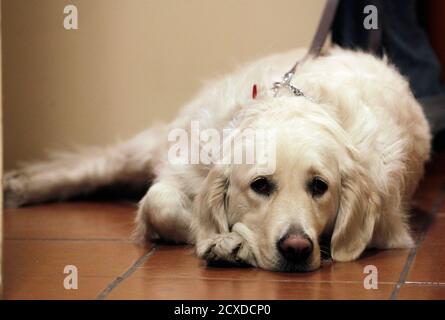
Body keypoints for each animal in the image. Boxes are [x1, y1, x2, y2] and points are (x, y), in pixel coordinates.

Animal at [3, 48, 430, 272]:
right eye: (260, 185)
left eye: (319, 186)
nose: (296, 248)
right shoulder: (185, 166)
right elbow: (160, 204)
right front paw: (219, 238)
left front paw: (231, 242)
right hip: (152, 145)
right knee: (94, 167)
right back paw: (21, 185)